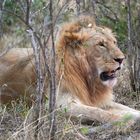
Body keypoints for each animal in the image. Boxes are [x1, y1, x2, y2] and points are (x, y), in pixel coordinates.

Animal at [0, 15, 140, 122]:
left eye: (114, 42)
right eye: (101, 44)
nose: (121, 59)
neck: (86, 77)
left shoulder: (98, 100)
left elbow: (127, 108)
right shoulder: (57, 105)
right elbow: (98, 113)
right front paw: (125, 121)